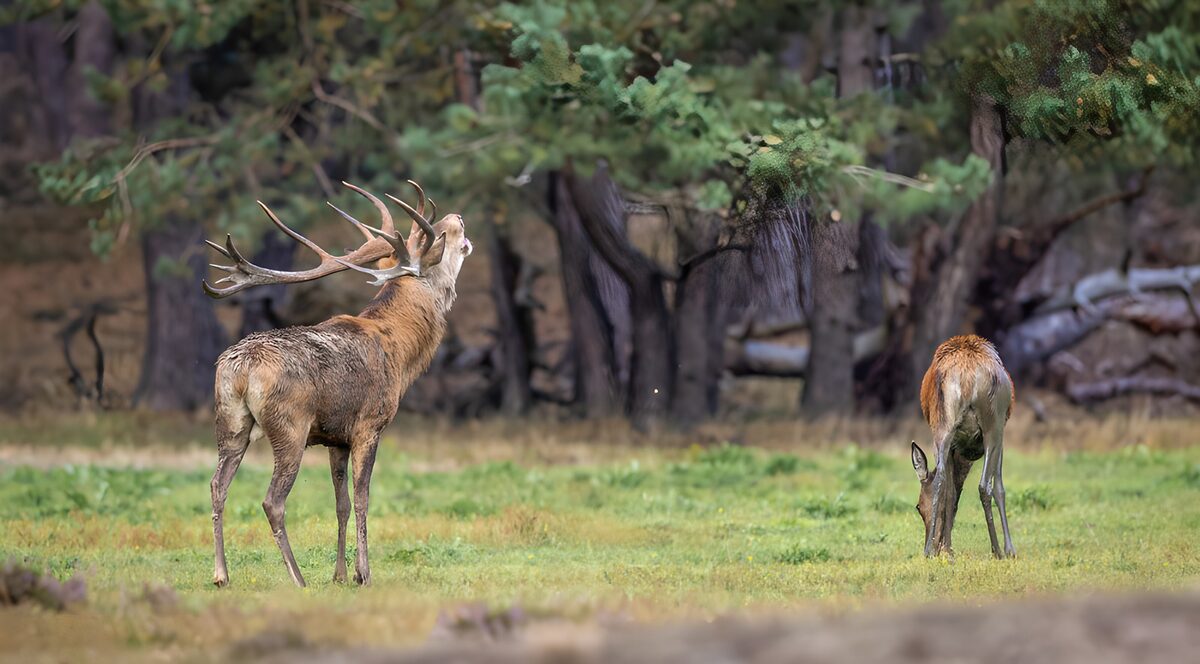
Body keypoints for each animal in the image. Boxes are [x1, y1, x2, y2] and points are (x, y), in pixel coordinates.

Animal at [202, 180, 471, 588]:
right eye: (442, 237)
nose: (458, 217)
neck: (401, 354)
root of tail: (243, 368)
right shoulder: (369, 425)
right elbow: (362, 498)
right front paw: (364, 573)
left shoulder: (335, 437)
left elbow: (340, 502)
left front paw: (340, 575)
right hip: (290, 426)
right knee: (272, 500)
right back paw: (297, 577)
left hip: (230, 420)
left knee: (218, 485)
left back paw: (221, 575)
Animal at [910, 334, 1016, 560]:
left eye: (918, 507)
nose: (935, 543)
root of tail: (968, 377)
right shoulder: (1002, 435)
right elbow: (1000, 487)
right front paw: (1010, 549)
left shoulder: (953, 447)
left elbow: (951, 493)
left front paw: (947, 548)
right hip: (994, 424)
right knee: (985, 485)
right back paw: (997, 550)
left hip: (942, 427)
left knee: (941, 478)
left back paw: (932, 551)